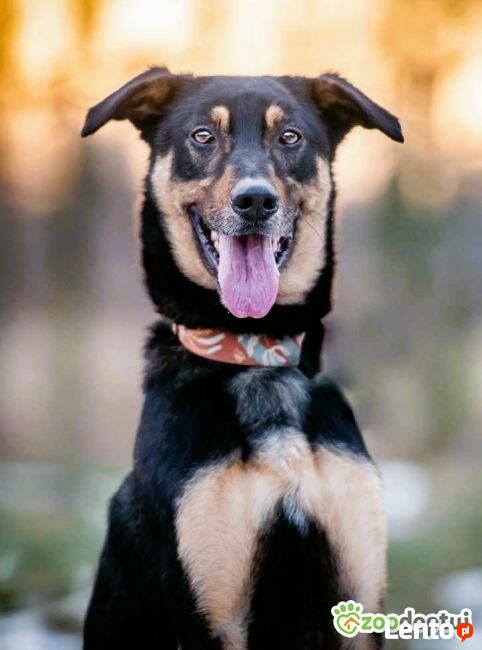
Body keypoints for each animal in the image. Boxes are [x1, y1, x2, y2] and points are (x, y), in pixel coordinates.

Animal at [81, 67, 403, 649]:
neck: (257, 355)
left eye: (290, 137)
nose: (255, 202)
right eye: (202, 136)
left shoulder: (361, 598)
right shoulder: (213, 611)